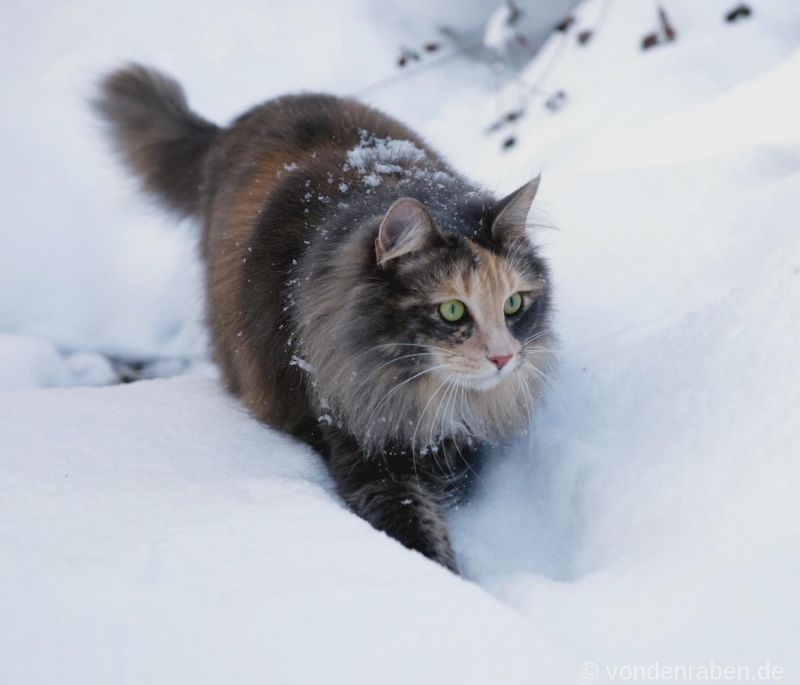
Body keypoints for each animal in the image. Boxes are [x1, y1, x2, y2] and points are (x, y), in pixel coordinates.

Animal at [95, 64, 552, 568]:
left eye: (513, 305)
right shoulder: (365, 450)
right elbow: (418, 532)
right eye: (451, 310)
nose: (503, 358)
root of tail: (236, 124)